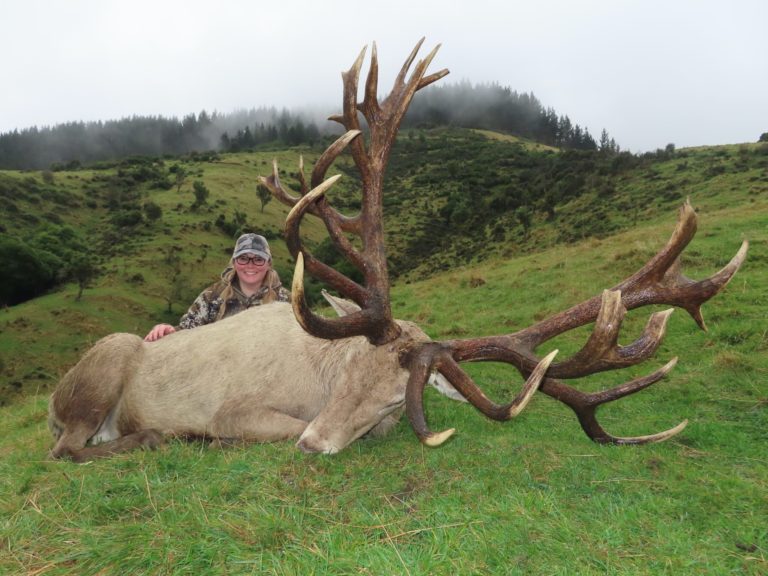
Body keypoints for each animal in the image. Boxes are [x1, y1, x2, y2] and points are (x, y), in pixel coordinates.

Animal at [48, 39, 747, 462]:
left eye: (393, 398)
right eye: (351, 368)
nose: (314, 444)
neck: (316, 379)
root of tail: (56, 403)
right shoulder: (234, 408)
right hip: (101, 368)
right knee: (64, 448)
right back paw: (144, 436)